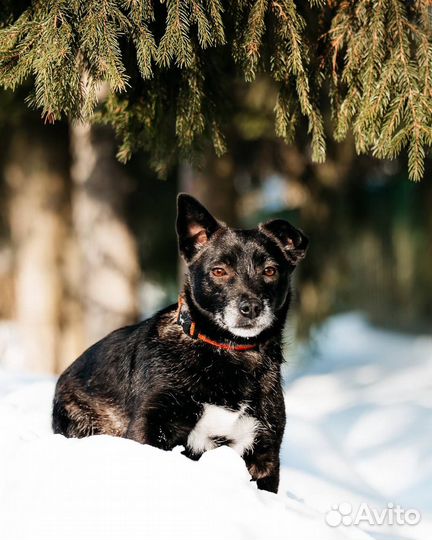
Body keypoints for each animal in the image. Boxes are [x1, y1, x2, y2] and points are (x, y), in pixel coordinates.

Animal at [52, 194, 308, 494]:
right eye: (219, 271)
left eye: (270, 270)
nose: (251, 308)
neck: (227, 355)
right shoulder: (151, 427)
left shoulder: (264, 452)